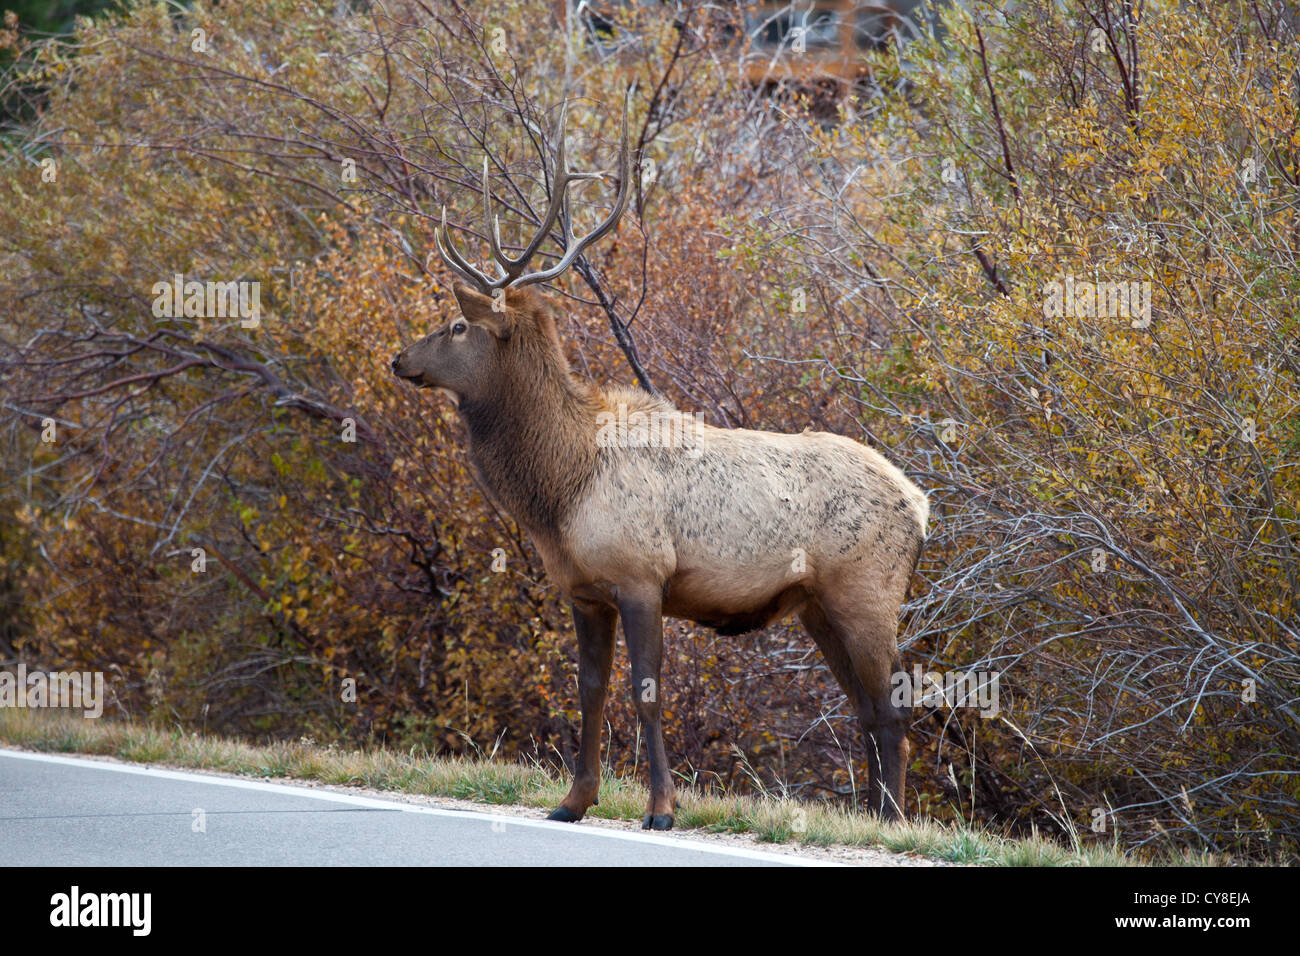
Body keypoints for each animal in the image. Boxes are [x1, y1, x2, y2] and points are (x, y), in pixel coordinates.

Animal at [390, 98, 930, 832]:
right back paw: (875, 818)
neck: (559, 489)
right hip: (818, 605)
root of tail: (921, 505)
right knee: (868, 709)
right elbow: (589, 690)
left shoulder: (641, 573)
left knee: (894, 708)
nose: (399, 359)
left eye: (456, 326)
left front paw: (662, 808)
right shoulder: (585, 590)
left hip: (868, 590)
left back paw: (894, 824)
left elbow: (645, 692)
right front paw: (572, 801)